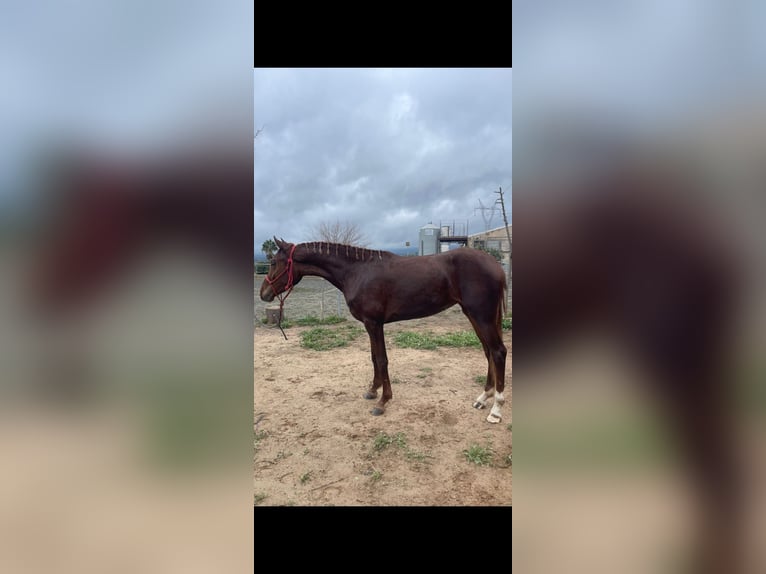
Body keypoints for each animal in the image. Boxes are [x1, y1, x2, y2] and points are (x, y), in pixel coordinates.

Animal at [259, 238, 509, 423]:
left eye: (273, 263)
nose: (264, 294)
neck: (357, 271)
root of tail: (495, 264)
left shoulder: (374, 323)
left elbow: (381, 359)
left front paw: (383, 401)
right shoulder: (369, 324)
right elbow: (373, 358)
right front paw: (372, 390)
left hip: (481, 315)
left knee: (498, 352)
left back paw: (496, 410)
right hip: (473, 315)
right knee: (488, 352)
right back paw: (483, 398)